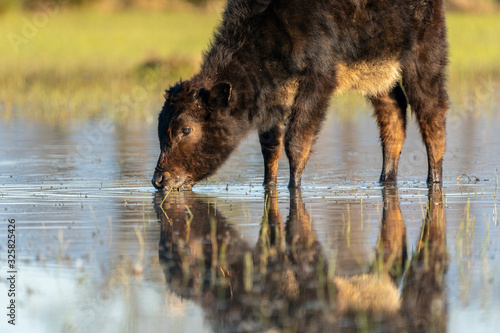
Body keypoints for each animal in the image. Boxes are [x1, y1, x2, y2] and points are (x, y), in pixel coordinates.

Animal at [150, 0, 448, 189]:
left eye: (186, 129)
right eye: (161, 128)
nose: (159, 180)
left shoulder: (318, 79)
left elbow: (297, 141)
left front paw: (294, 187)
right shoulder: (274, 96)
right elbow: (270, 147)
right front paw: (268, 185)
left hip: (424, 59)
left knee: (432, 115)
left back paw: (433, 180)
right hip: (380, 78)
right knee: (393, 117)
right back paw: (385, 180)